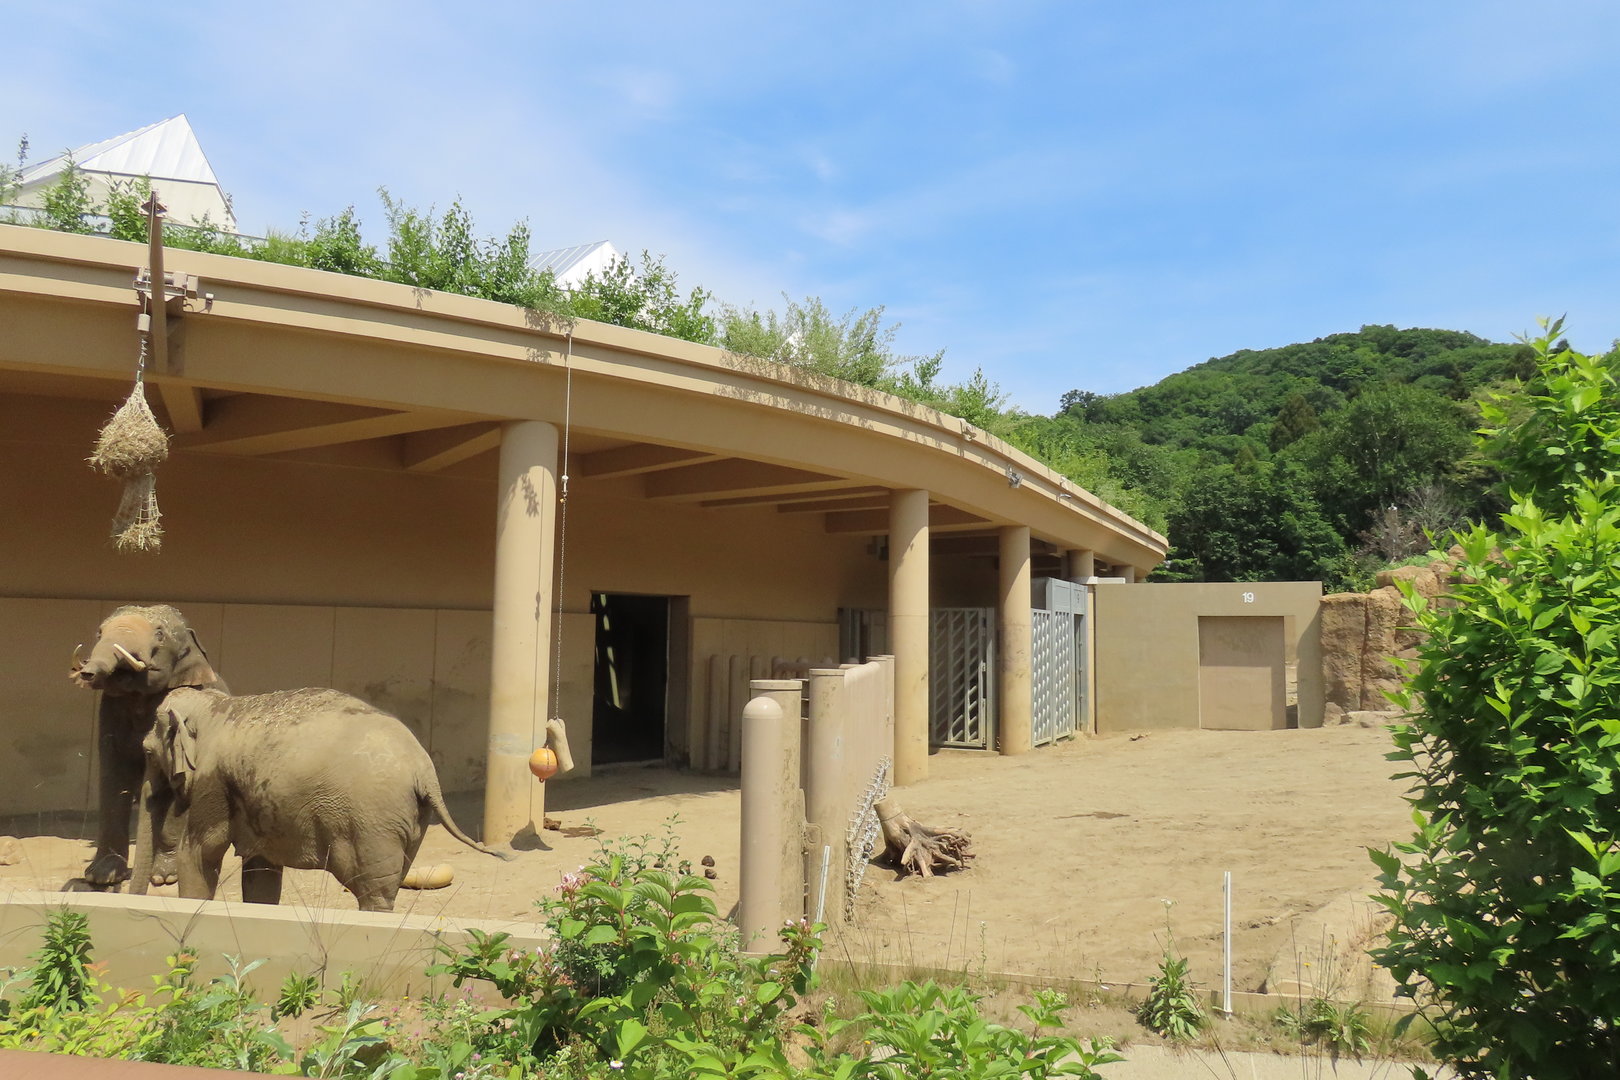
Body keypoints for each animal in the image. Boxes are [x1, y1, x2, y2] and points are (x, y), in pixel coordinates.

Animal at [69, 604, 225, 887]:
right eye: (99, 633)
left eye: (160, 635)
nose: (87, 672)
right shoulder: (110, 710)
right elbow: (114, 775)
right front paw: (101, 877)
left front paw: (165, 877)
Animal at [130, 686, 510, 911]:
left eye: (147, 753)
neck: (217, 706)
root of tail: (425, 772)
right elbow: (261, 869)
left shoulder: (212, 783)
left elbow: (200, 853)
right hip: (411, 822)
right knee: (389, 882)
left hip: (371, 822)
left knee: (373, 889)